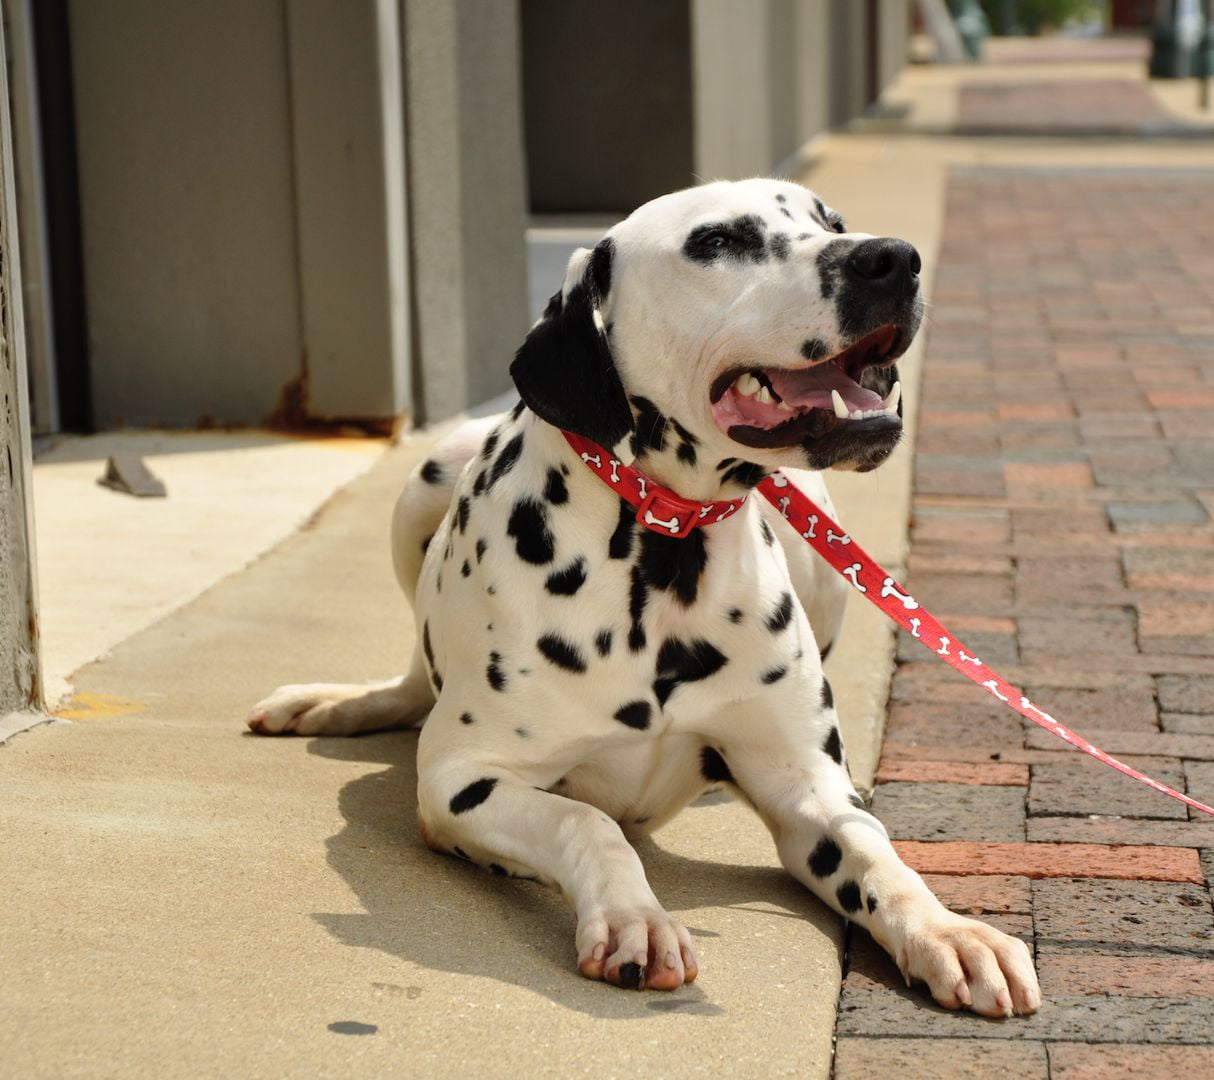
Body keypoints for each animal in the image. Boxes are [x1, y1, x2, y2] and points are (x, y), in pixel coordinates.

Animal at [248, 178, 1044, 1019]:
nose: (893, 259)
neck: (666, 549)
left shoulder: (808, 788)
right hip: (430, 475)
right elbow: (589, 821)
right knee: (412, 680)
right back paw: (336, 701)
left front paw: (949, 929)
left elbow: (876, 853)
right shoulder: (462, 778)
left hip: (827, 562)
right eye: (718, 242)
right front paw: (637, 916)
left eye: (830, 221)